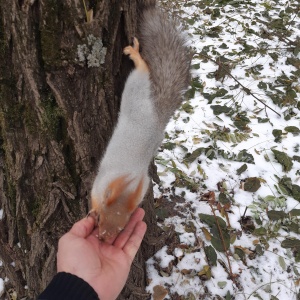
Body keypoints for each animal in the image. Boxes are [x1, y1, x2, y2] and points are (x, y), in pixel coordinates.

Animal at [89, 7, 190, 241]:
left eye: (121, 227)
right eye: (101, 219)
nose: (104, 239)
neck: (127, 185)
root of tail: (157, 117)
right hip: (136, 94)